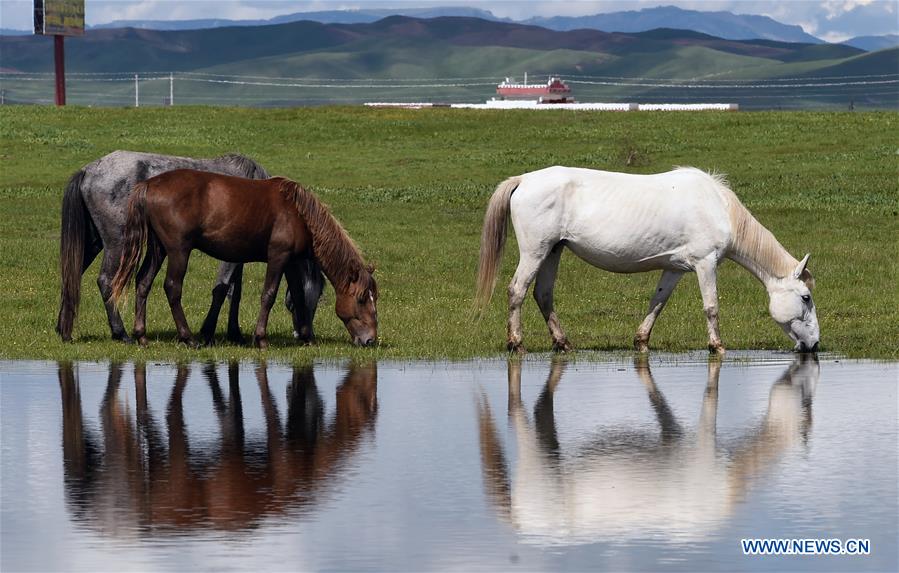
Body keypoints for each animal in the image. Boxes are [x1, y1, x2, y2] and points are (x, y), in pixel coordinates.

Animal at [57, 150, 324, 344]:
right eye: (300, 301)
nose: (305, 335)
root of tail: (89, 170)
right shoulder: (231, 255)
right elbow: (222, 288)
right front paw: (208, 331)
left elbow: (234, 292)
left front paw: (234, 333)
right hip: (118, 242)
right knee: (106, 281)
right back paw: (120, 332)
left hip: (93, 243)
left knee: (71, 276)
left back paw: (63, 329)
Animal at [109, 169, 378, 348]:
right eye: (362, 299)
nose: (370, 340)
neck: (298, 213)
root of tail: (149, 184)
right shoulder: (278, 257)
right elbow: (268, 295)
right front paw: (261, 339)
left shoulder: (290, 262)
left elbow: (299, 295)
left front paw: (306, 336)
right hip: (178, 251)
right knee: (172, 288)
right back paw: (189, 338)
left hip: (158, 249)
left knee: (143, 282)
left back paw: (141, 335)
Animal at [476, 166, 820, 354]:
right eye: (806, 297)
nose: (814, 345)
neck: (718, 207)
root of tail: (523, 180)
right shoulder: (705, 263)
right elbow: (711, 307)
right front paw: (717, 345)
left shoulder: (674, 268)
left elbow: (658, 302)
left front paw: (641, 341)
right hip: (535, 252)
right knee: (517, 291)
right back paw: (517, 343)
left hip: (553, 251)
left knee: (543, 294)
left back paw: (563, 343)